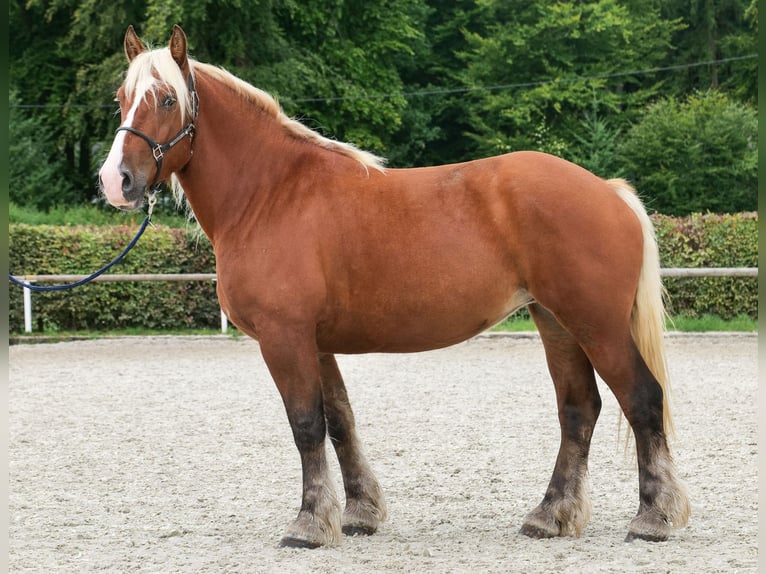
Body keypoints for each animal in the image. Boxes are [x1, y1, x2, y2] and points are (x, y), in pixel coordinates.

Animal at [98, 25, 690, 548]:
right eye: (121, 99)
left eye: (167, 99)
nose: (116, 181)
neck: (270, 193)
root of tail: (608, 190)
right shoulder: (317, 342)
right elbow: (340, 423)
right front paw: (359, 513)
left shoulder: (285, 338)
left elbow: (306, 425)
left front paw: (309, 525)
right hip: (557, 322)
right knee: (578, 410)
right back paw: (550, 515)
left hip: (597, 325)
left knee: (642, 398)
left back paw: (653, 519)